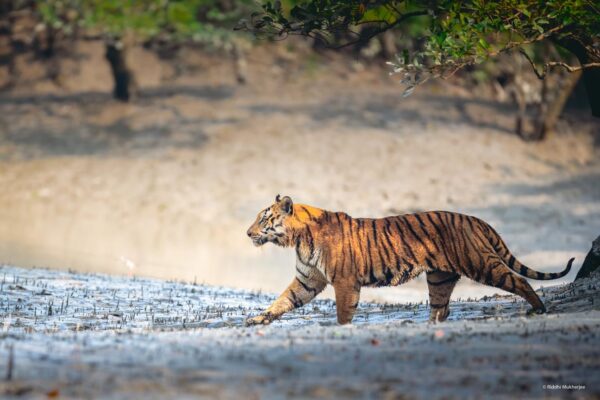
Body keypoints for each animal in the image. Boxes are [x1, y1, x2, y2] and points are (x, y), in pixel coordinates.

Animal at [246, 195, 576, 324]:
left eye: (264, 218)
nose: (247, 233)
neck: (297, 239)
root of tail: (475, 219)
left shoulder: (344, 281)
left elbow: (343, 312)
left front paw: (342, 329)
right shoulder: (307, 280)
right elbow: (283, 300)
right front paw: (258, 319)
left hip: (481, 263)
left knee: (519, 280)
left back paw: (539, 309)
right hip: (440, 277)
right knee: (442, 308)